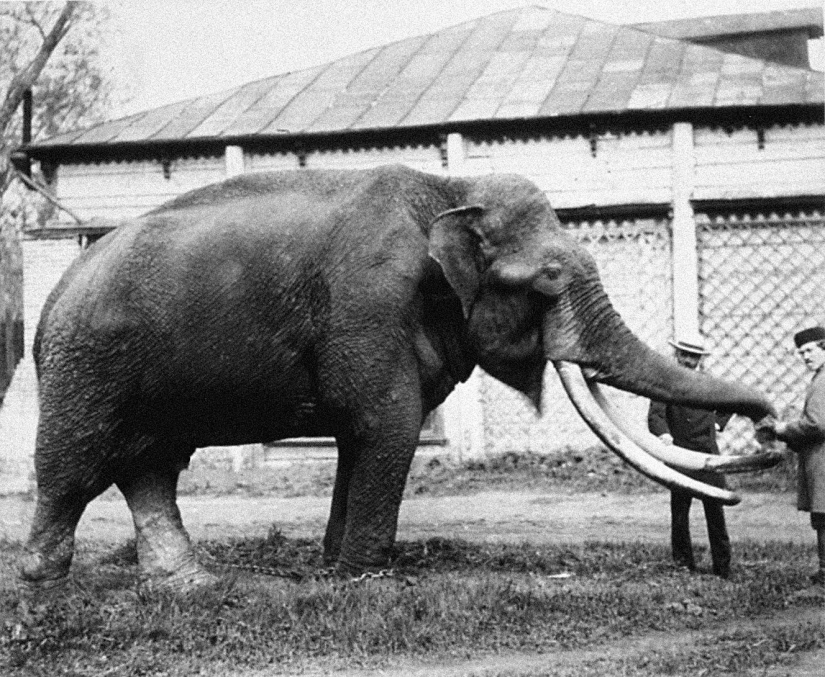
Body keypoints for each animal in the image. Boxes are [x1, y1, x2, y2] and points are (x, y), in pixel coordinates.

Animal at [20, 162, 780, 588]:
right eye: (548, 278)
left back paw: (190, 588)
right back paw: (43, 584)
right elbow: (388, 422)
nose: (770, 426)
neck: (449, 191)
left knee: (150, 466)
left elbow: (360, 438)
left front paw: (335, 568)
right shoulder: (369, 305)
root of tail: (53, 295)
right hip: (86, 368)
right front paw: (368, 579)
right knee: (76, 468)